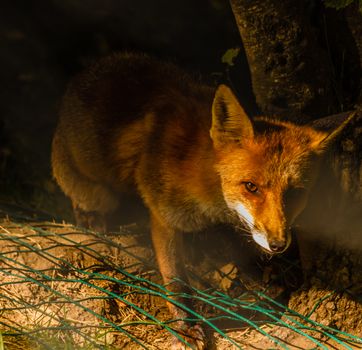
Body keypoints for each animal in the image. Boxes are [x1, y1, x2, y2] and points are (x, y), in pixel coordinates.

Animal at [52, 52, 354, 350]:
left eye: (294, 193)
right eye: (251, 187)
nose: (278, 244)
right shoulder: (164, 216)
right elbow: (176, 279)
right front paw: (185, 326)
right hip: (95, 192)